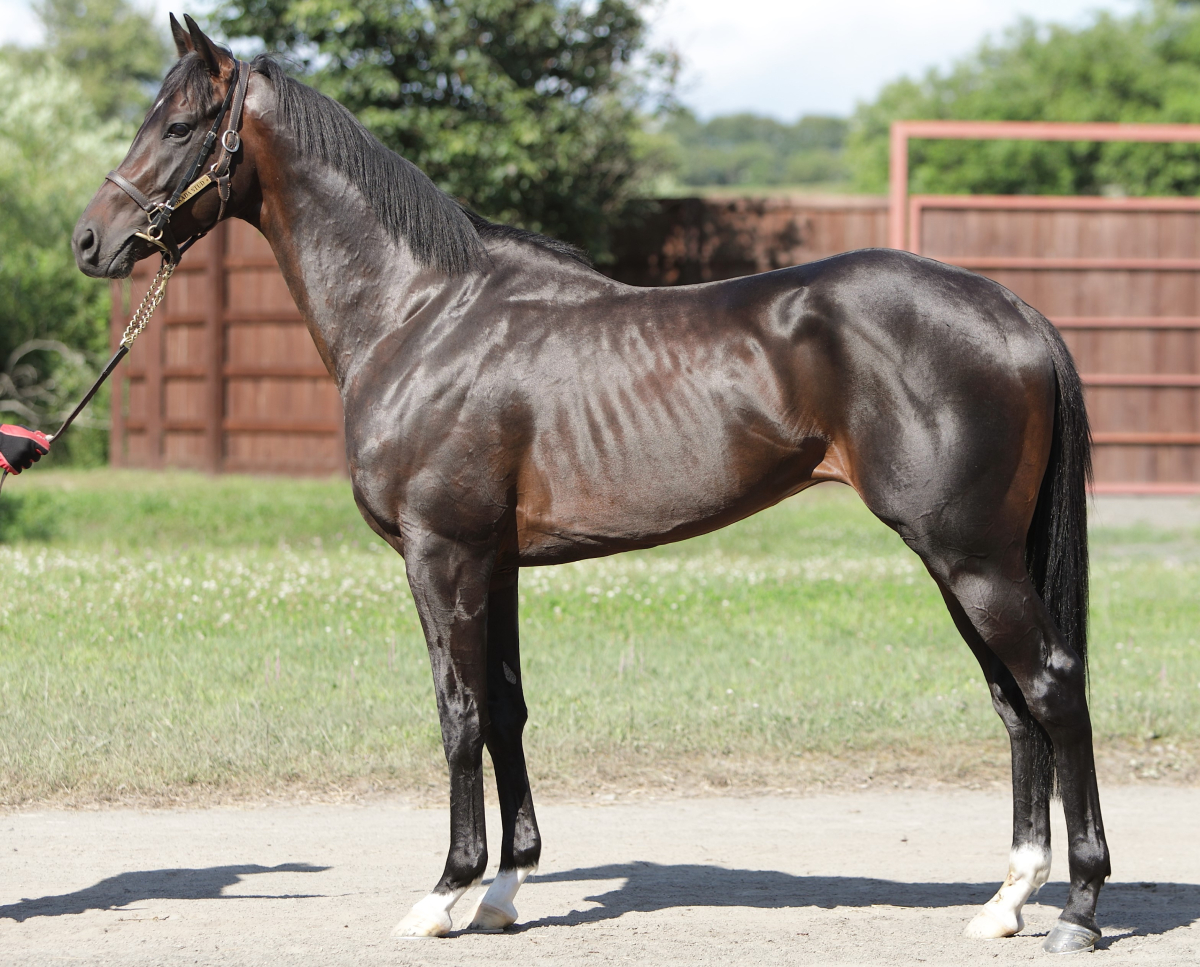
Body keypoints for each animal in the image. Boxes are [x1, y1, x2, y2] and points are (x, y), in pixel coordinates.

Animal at [73, 16, 1109, 954]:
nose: (91, 239)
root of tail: (1011, 309)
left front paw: (442, 894)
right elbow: (506, 709)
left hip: (969, 554)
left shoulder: (440, 555)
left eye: (178, 125)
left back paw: (1080, 909)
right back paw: (1006, 900)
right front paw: (504, 890)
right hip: (964, 558)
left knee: (1053, 687)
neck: (420, 313)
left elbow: (457, 714)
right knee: (1014, 703)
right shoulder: (493, 563)